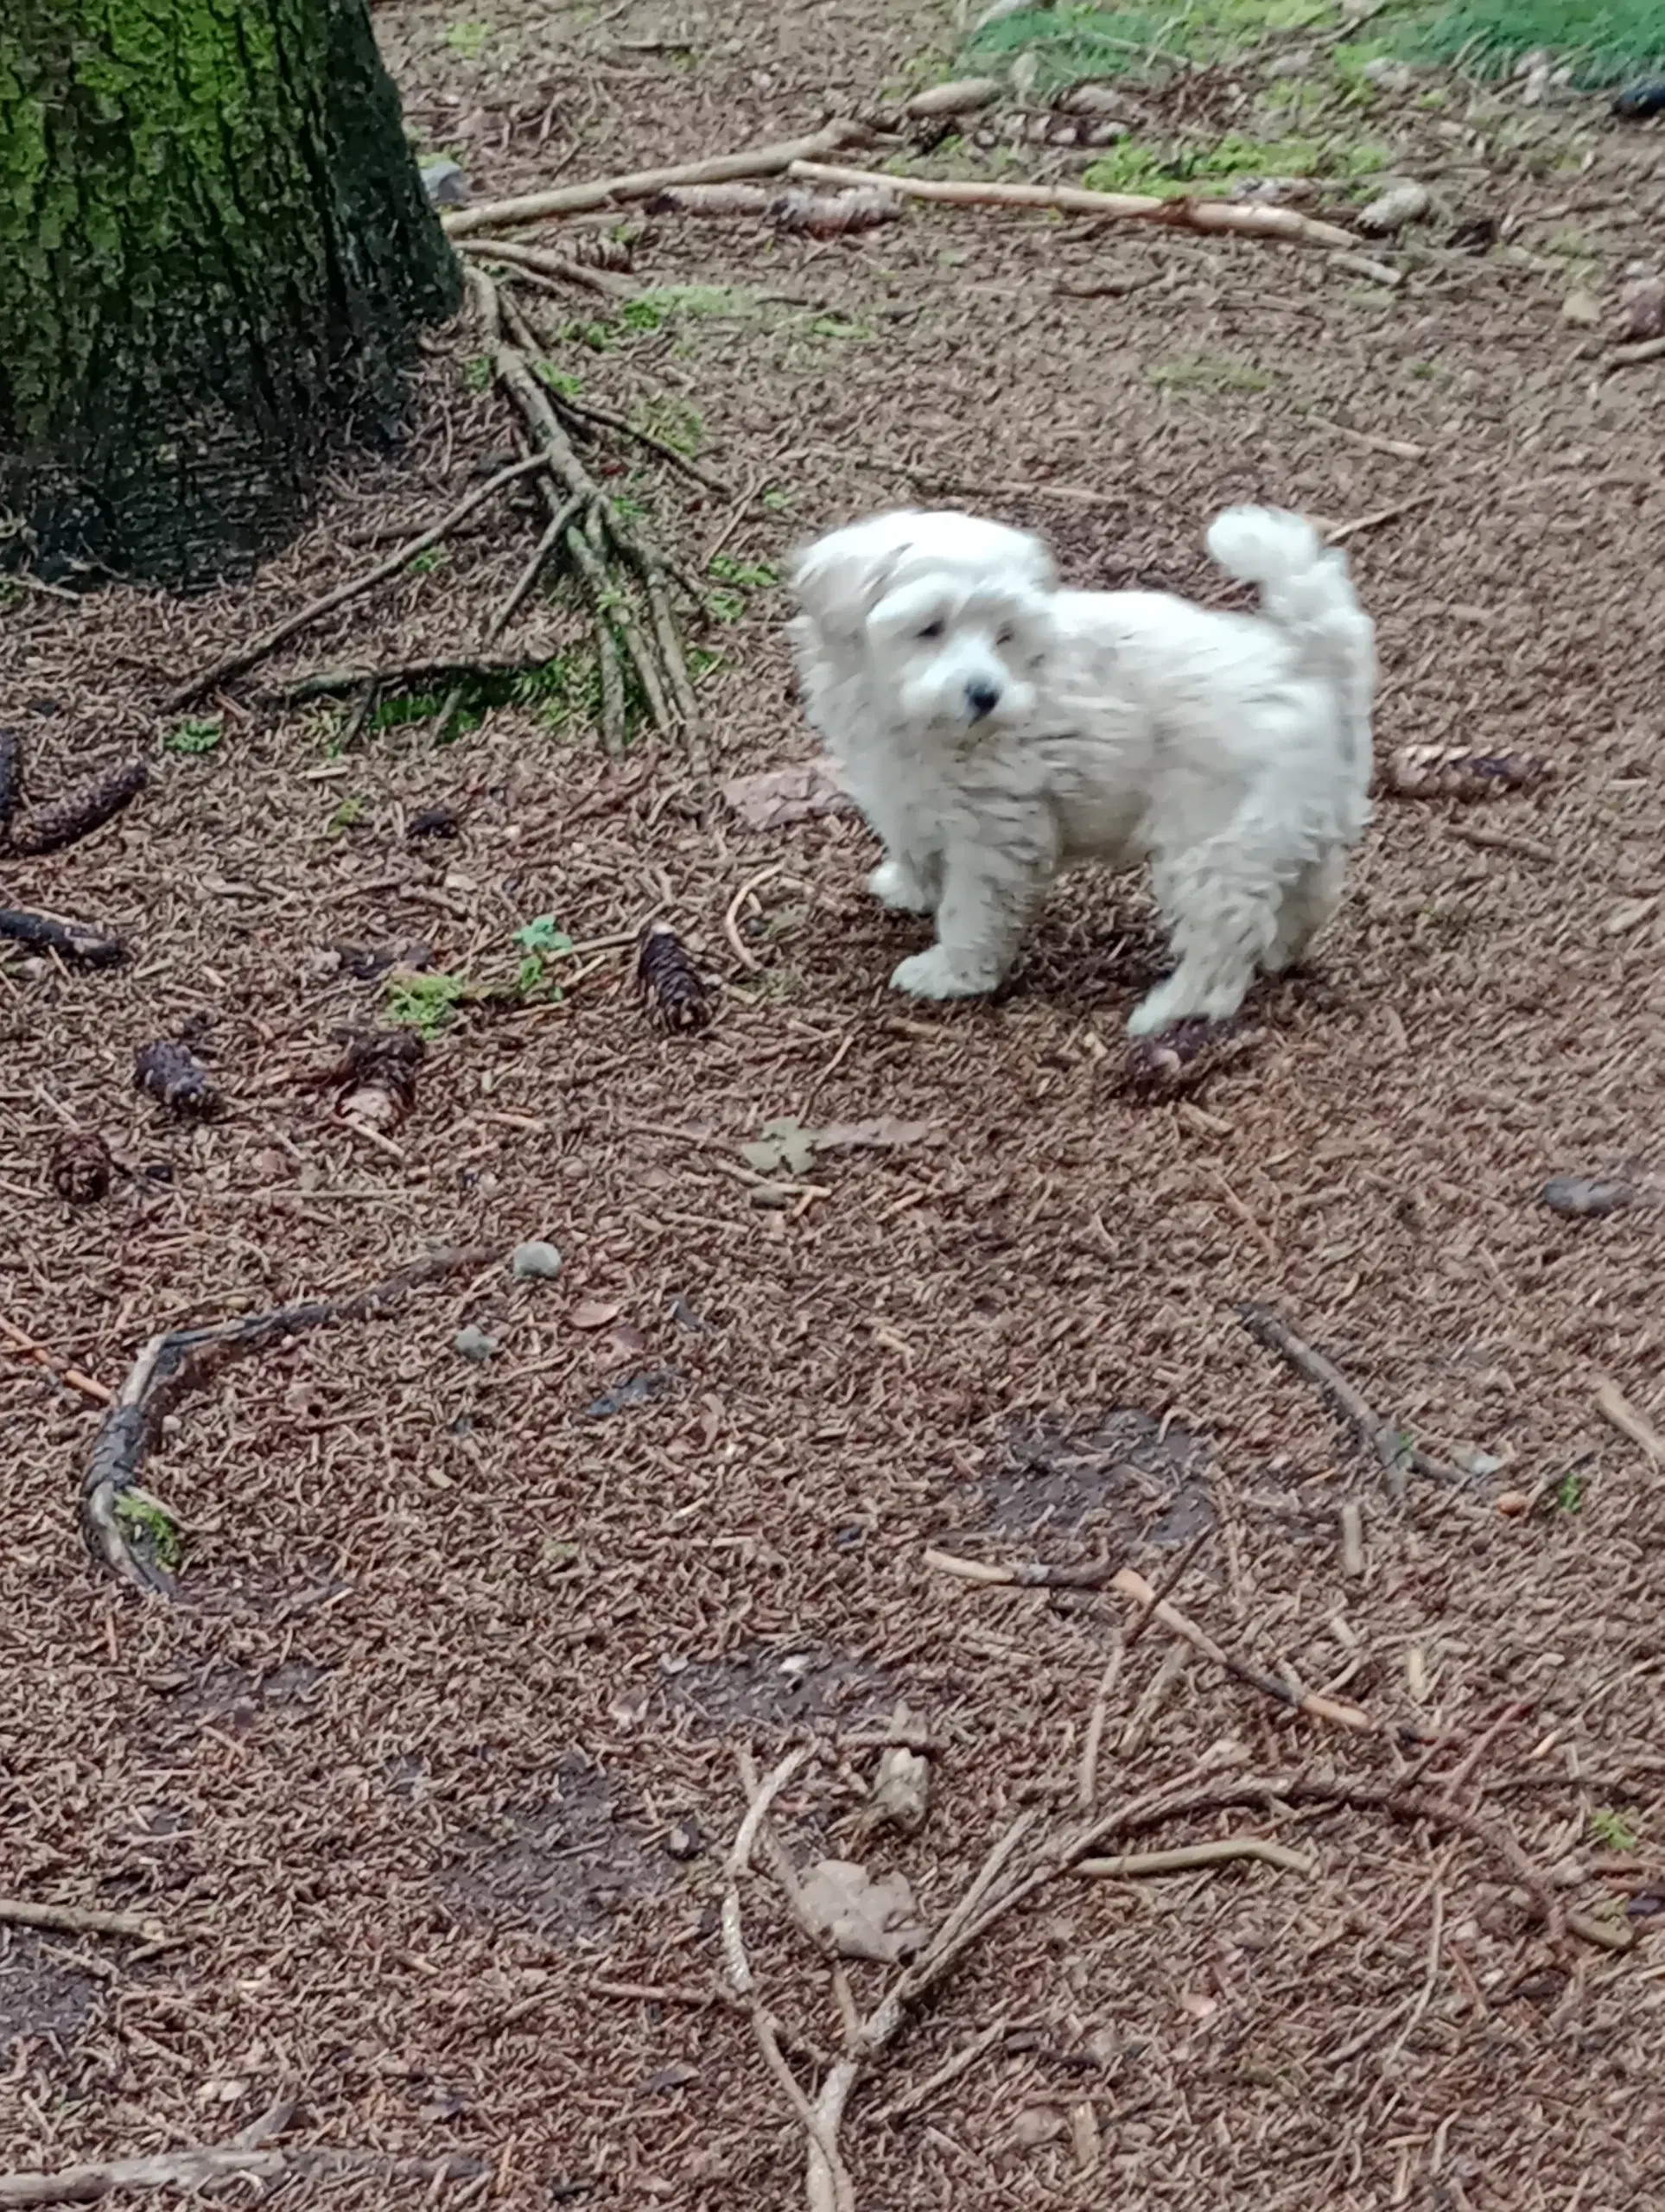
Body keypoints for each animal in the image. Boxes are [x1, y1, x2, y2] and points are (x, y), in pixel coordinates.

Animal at [791, 506, 1379, 1030]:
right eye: (930, 628)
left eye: (1004, 634)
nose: (985, 694)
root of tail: (1312, 666)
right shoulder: (901, 785)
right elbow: (914, 843)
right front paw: (907, 887)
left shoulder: (995, 836)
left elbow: (971, 909)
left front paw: (951, 973)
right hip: (1286, 824)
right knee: (1308, 894)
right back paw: (1279, 953)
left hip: (1212, 847)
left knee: (1222, 944)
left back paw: (1172, 1011)